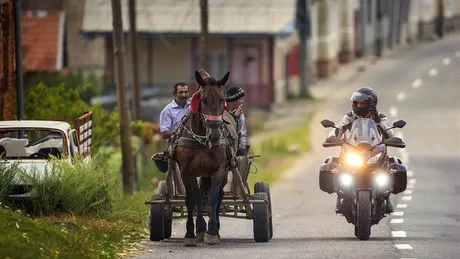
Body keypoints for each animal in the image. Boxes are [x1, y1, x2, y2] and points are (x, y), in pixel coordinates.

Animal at [173, 69, 235, 248]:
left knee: (219, 194)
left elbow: (213, 197)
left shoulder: (219, 169)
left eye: (222, 99)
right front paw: (191, 234)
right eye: (203, 99)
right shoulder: (186, 171)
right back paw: (200, 229)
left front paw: (212, 232)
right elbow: (192, 199)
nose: (214, 134)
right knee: (198, 196)